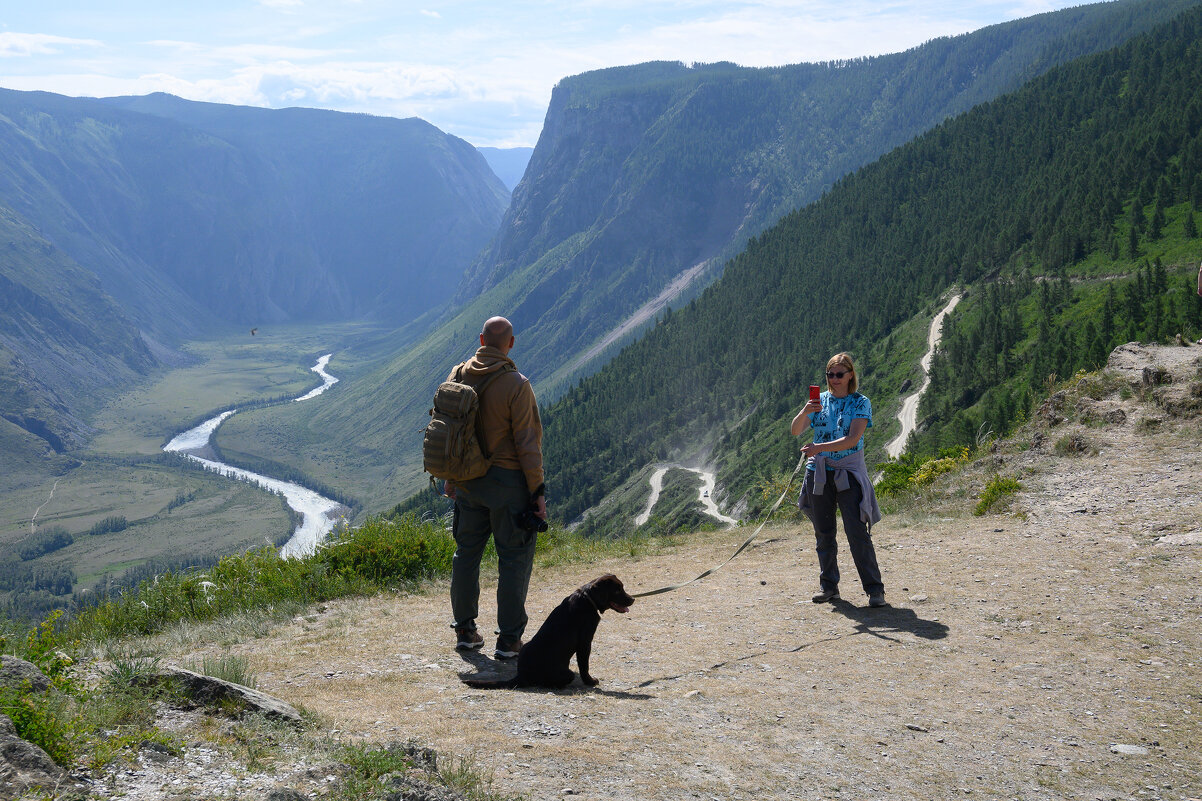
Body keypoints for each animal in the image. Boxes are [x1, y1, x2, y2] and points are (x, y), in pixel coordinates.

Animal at [459, 570, 634, 687]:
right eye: (617, 589)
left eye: (622, 587)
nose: (632, 599)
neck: (587, 598)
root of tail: (521, 675)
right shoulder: (585, 642)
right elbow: (584, 665)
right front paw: (590, 681)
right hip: (567, 673)